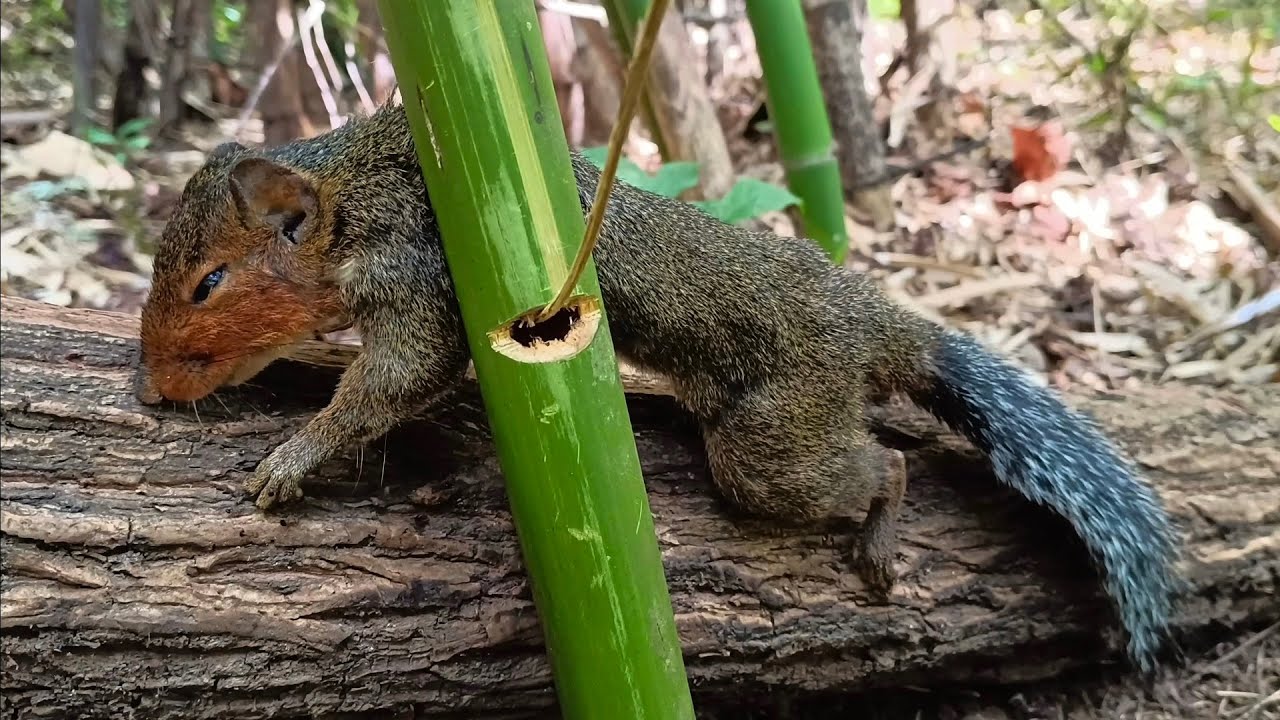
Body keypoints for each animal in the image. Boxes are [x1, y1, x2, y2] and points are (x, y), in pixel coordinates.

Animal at [134, 101, 1180, 673]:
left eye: (209, 283)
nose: (149, 387)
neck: (354, 191)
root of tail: (882, 329)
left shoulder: (418, 270)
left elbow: (397, 377)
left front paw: (293, 456)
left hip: (773, 441)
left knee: (884, 464)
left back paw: (882, 531)